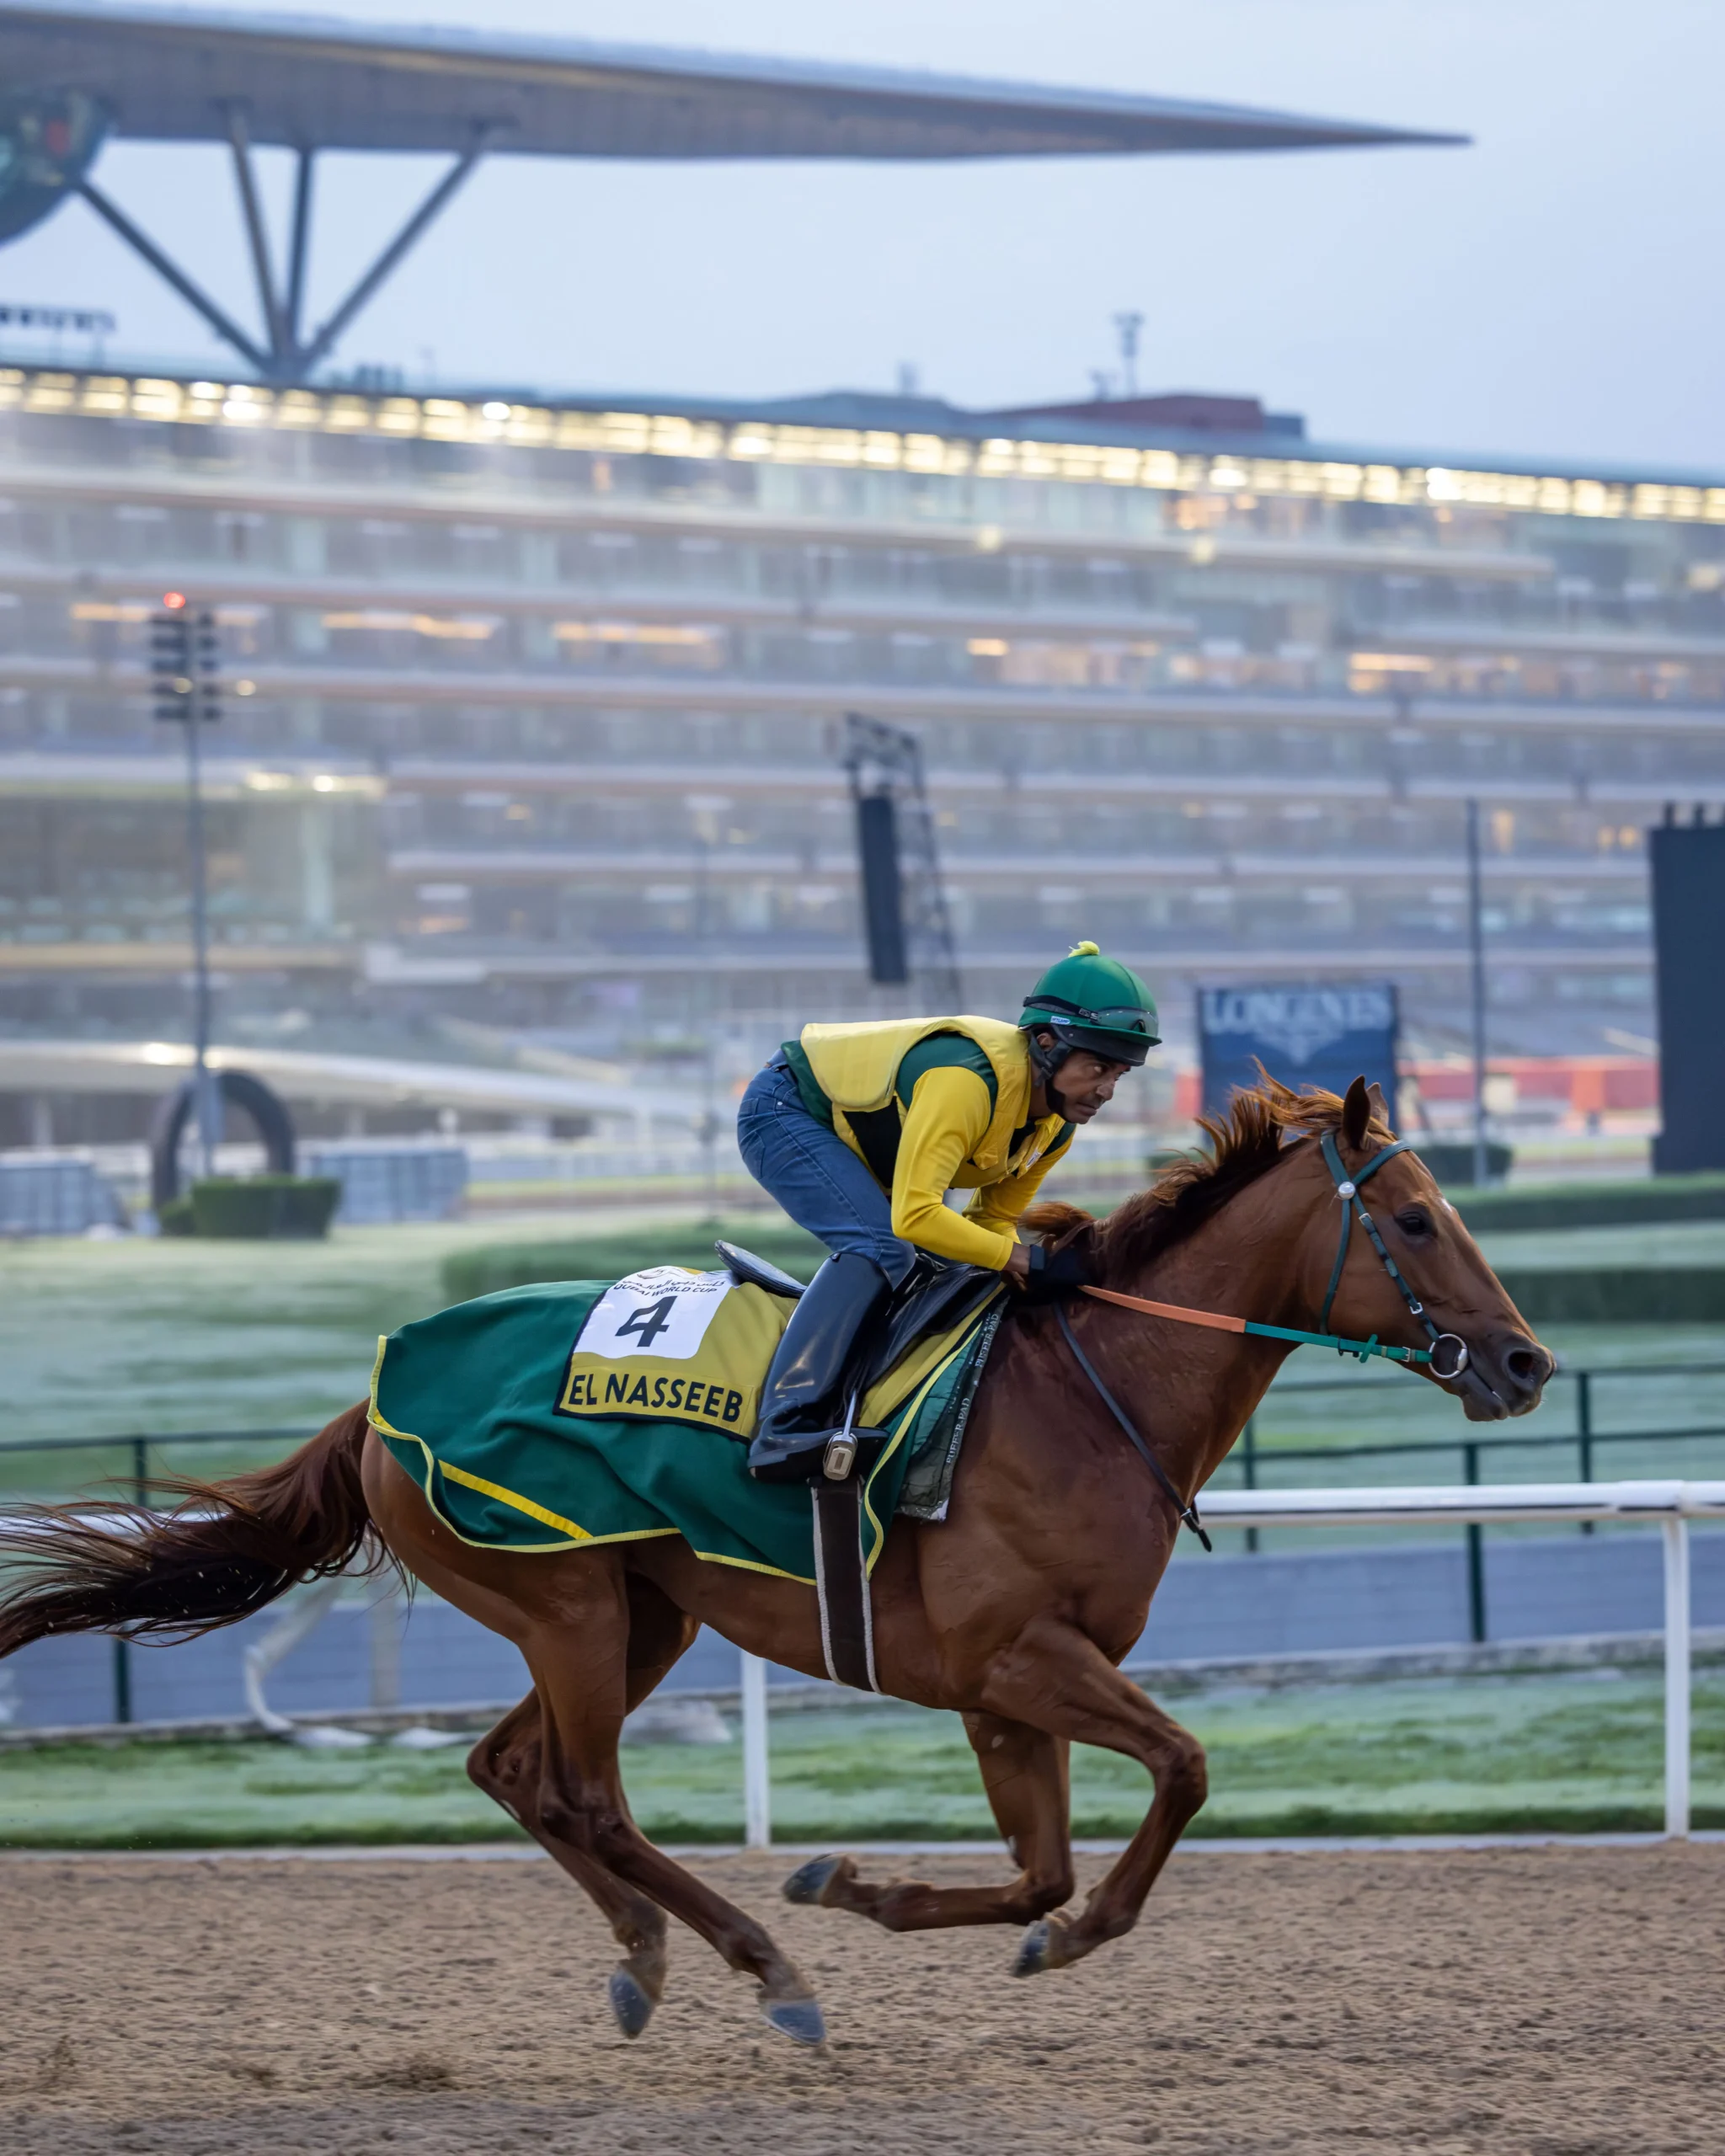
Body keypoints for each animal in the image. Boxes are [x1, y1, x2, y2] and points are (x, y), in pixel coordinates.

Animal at [0, 1076, 1552, 2048]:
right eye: (1415, 1218)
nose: (1526, 1362)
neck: (1088, 1387)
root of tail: (374, 1398)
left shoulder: (1008, 1690)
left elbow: (1040, 1871)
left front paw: (882, 1893)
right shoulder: (1016, 1658)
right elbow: (1179, 1772)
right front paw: (990, 1924)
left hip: (635, 1616)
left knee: (514, 1772)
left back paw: (647, 1954)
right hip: (562, 1599)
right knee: (585, 1793)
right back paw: (766, 1966)